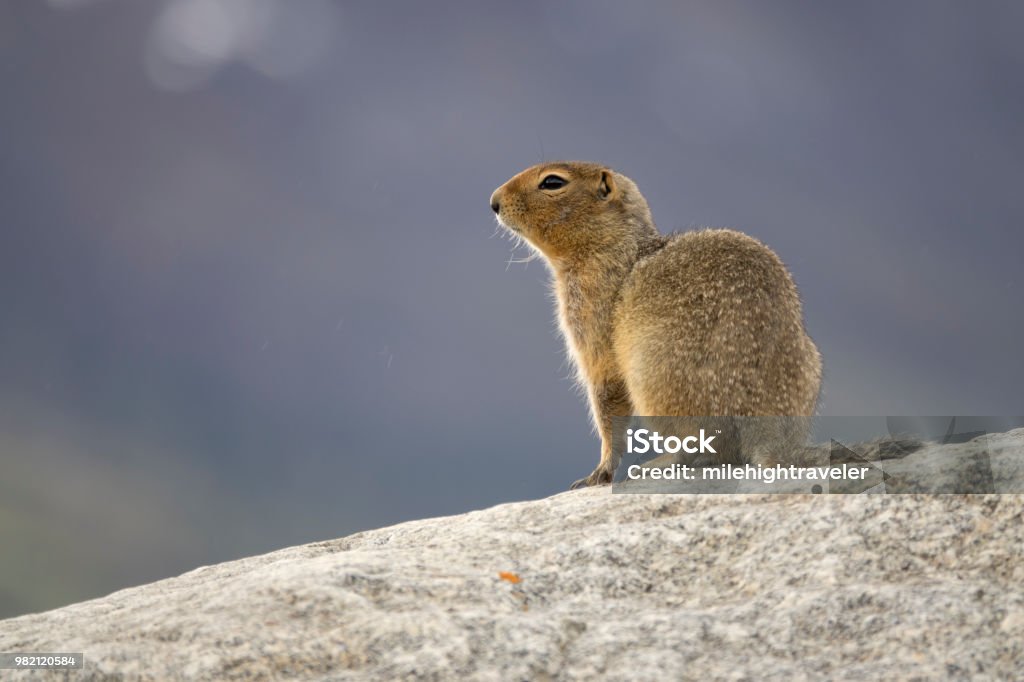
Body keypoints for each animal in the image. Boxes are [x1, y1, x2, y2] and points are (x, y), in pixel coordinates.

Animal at [489, 161, 823, 485]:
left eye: (553, 182)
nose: (493, 202)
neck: (613, 247)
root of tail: (768, 434)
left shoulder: (590, 321)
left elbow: (606, 396)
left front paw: (599, 471)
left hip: (652, 375)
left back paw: (659, 463)